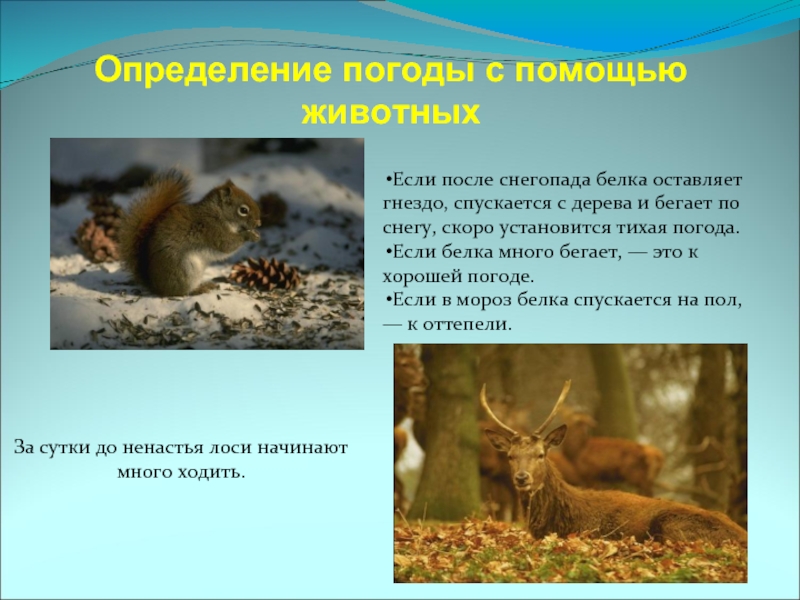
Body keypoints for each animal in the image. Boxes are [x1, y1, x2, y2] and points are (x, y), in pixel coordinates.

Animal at [118, 169, 261, 296]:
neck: (218, 213)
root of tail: (156, 286)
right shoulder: (212, 229)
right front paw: (249, 235)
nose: (259, 223)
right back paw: (199, 289)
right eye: (243, 210)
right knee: (180, 292)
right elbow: (227, 244)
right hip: (184, 269)